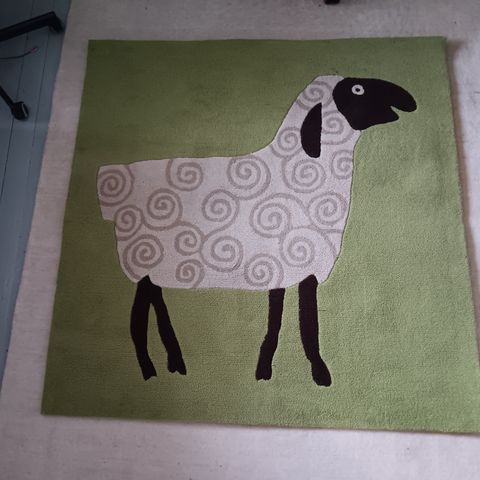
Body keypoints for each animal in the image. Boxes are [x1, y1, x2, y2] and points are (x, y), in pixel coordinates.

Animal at [97, 75, 416, 385]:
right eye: (357, 89)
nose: (409, 101)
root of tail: (113, 178)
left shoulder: (289, 266)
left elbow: (290, 320)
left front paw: (281, 368)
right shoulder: (295, 263)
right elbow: (300, 324)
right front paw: (304, 372)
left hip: (152, 265)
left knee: (155, 301)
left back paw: (175, 362)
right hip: (142, 257)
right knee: (138, 319)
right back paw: (150, 369)